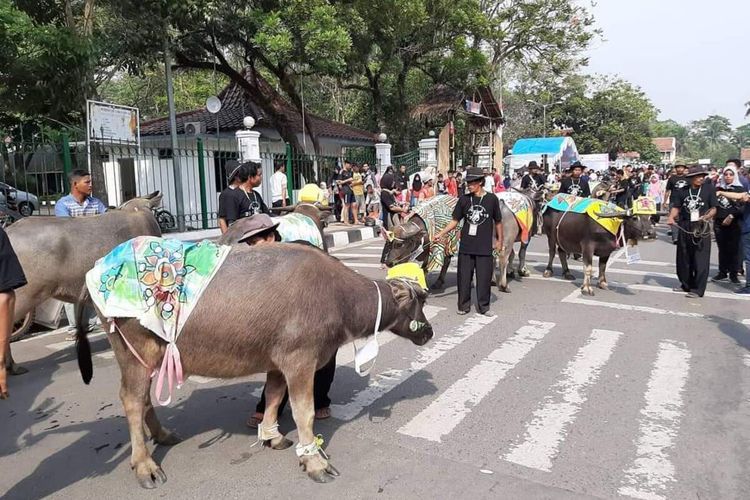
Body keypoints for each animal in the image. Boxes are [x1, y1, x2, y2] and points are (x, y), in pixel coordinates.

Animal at [76, 241, 434, 484]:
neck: (337, 296)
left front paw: (272, 436)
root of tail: (93, 271)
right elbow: (304, 413)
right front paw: (314, 461)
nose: (429, 332)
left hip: (150, 358)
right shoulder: (300, 361)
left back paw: (163, 435)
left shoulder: (277, 363)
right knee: (132, 400)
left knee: (144, 398)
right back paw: (144, 465)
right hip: (133, 354)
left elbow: (274, 398)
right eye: (421, 299)